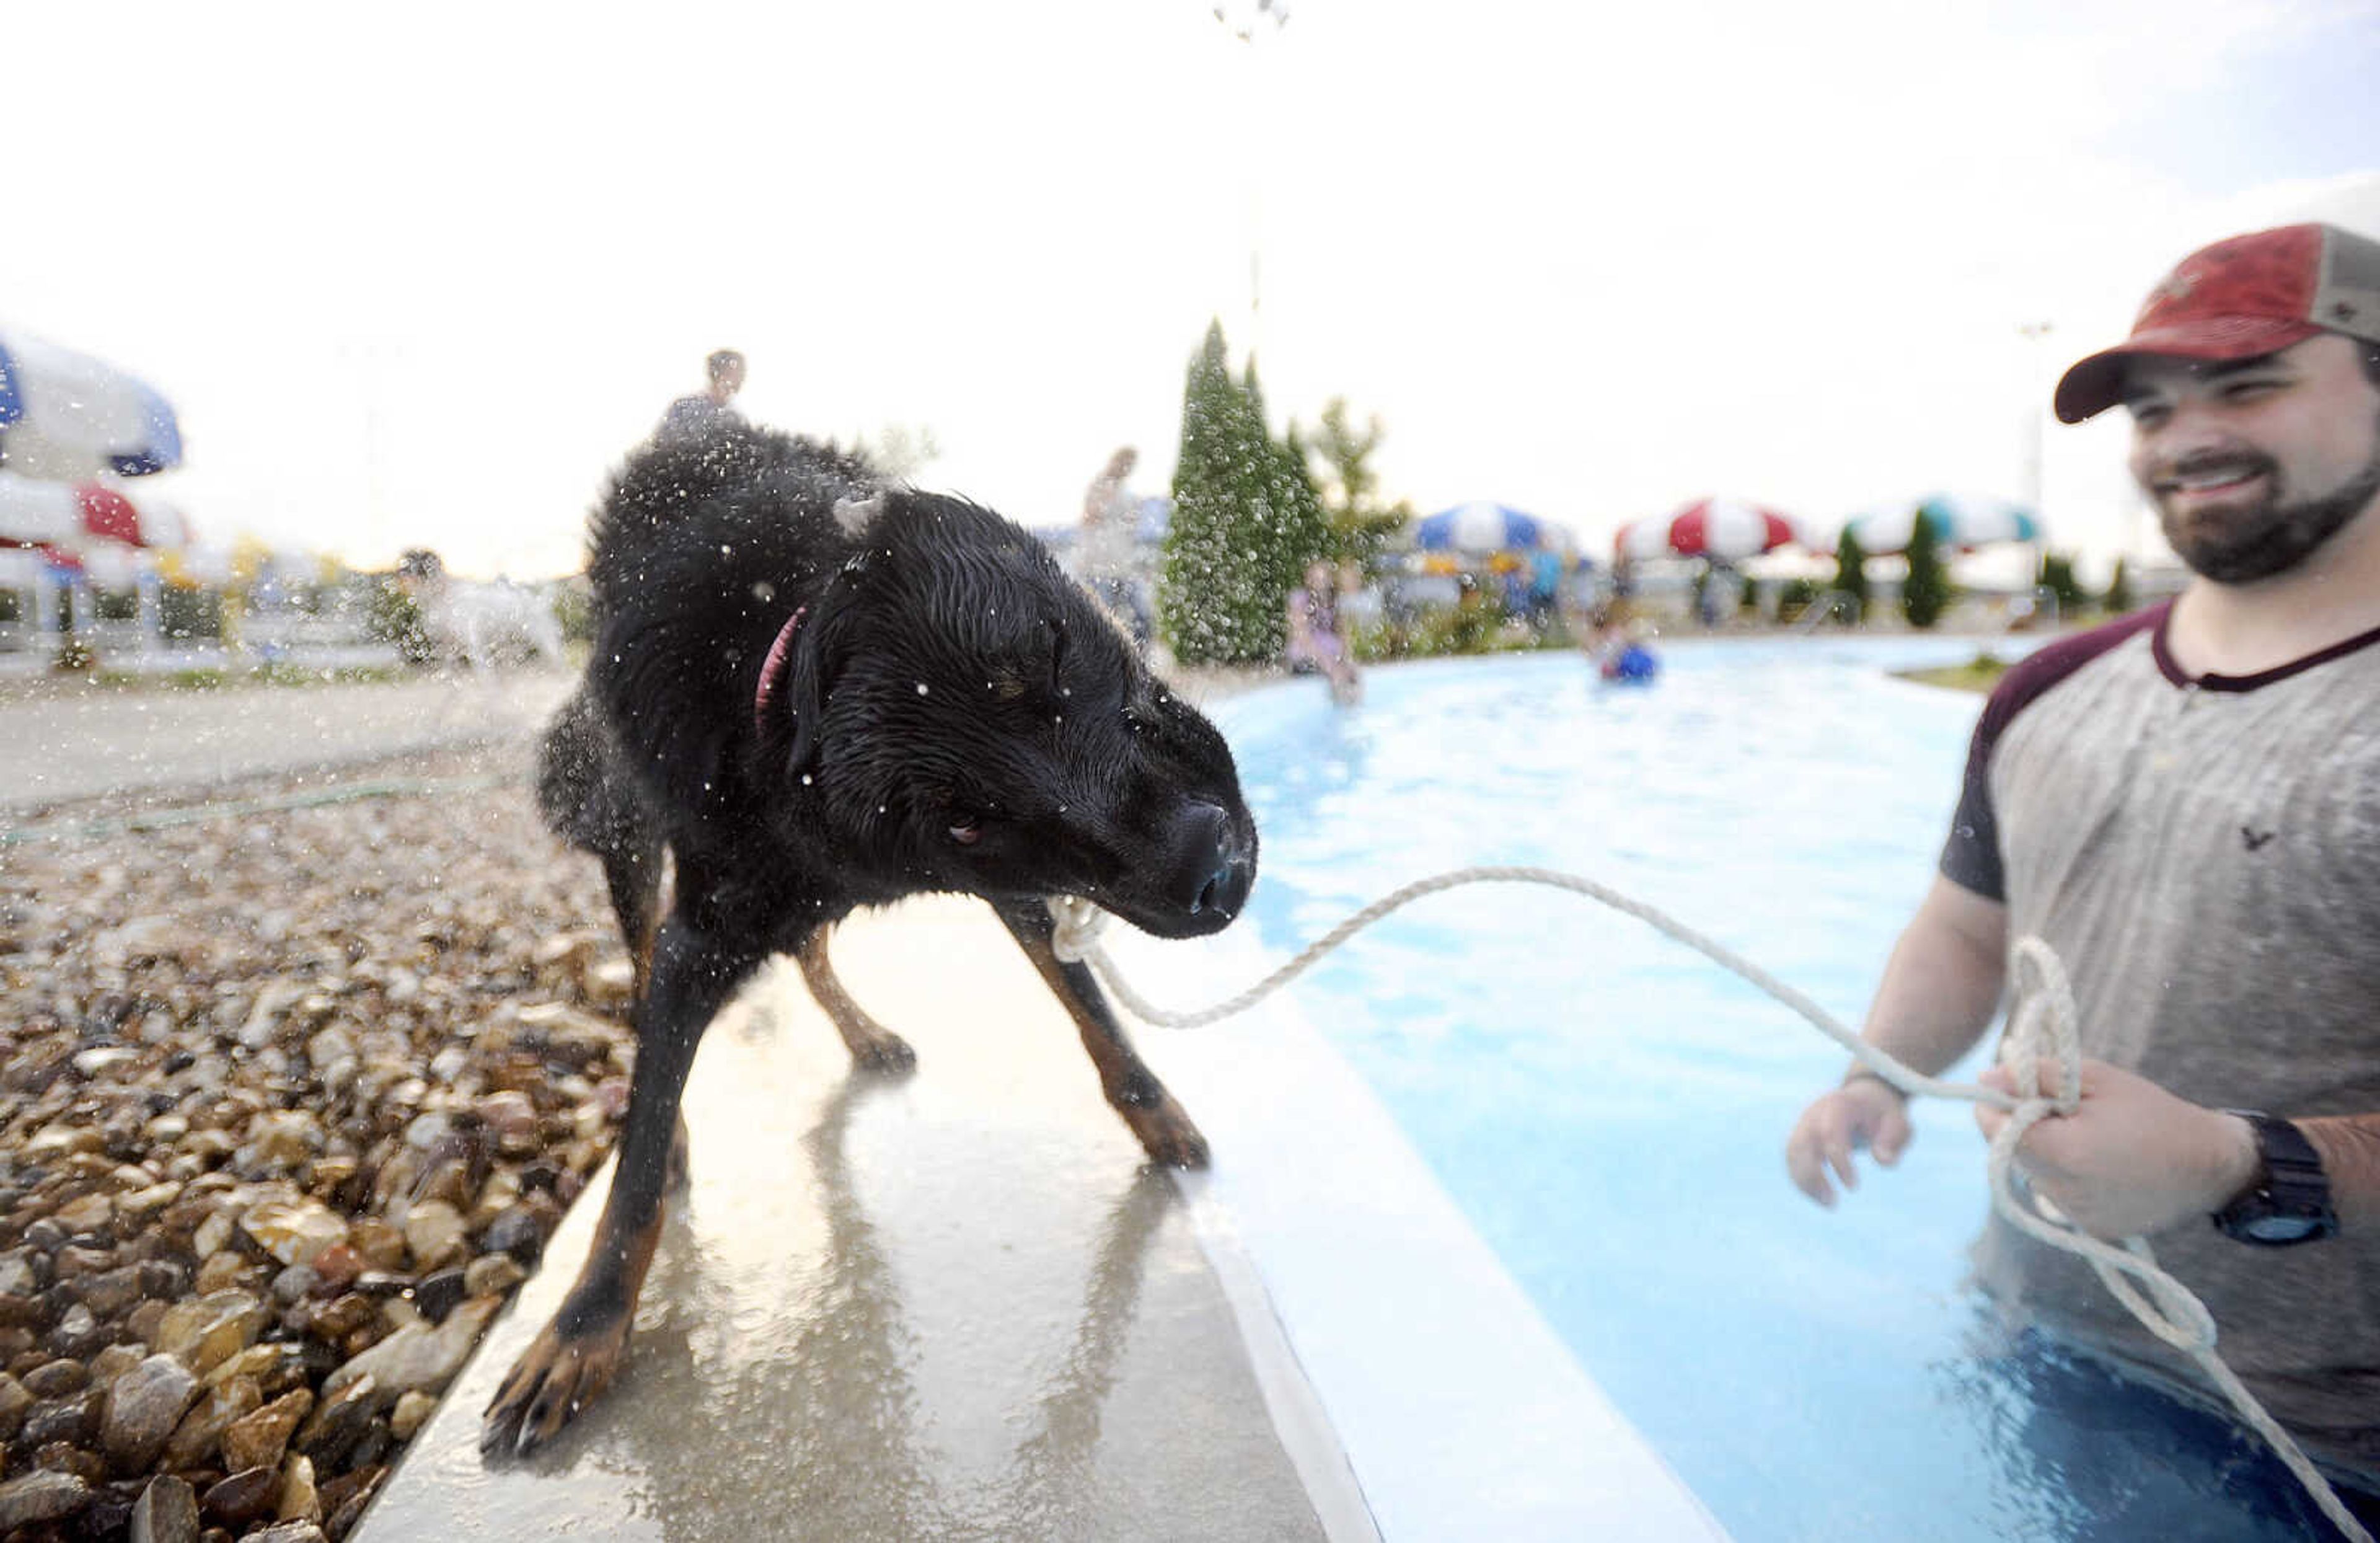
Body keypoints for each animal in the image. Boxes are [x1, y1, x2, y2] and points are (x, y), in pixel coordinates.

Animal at [488, 421, 1266, 1457]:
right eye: (965, 818)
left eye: (1052, 649)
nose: (1214, 870)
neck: (781, 655)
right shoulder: (716, 932)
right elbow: (638, 1174)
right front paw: (583, 1330)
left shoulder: (1011, 883)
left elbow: (1089, 1008)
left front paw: (1156, 1111)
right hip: (633, 851)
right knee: (650, 970)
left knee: (811, 946)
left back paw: (862, 1033)